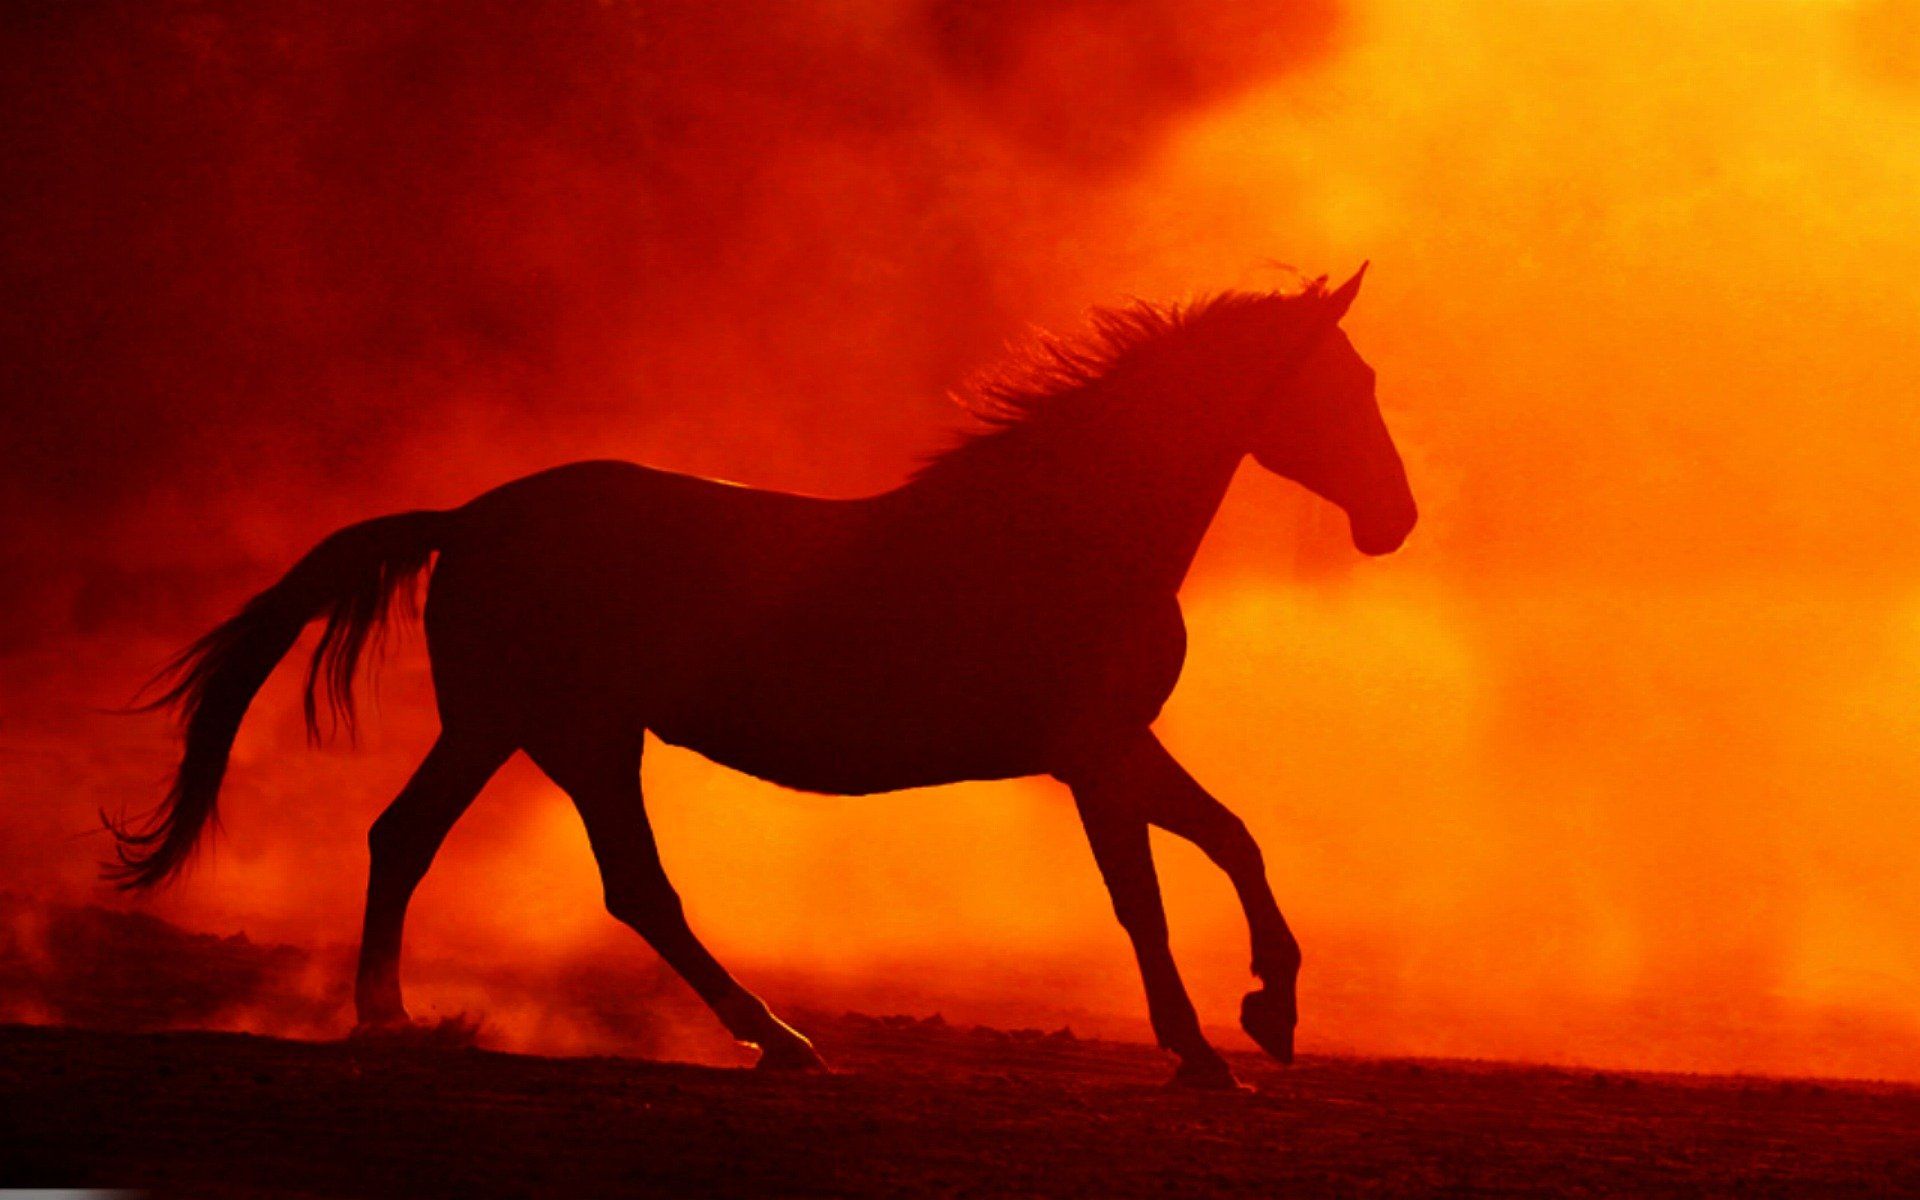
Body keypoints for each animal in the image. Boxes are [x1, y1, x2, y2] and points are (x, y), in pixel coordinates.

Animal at [109, 265, 1415, 1088]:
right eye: (1346, 387)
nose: (1394, 521)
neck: (1066, 527)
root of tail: (472, 517)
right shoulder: (1092, 754)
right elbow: (1149, 896)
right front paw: (1210, 1049)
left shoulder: (1112, 750)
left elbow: (1233, 838)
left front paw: (1268, 1017)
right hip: (578, 735)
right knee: (633, 888)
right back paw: (774, 1039)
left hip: (501, 726)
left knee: (406, 838)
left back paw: (394, 1020)